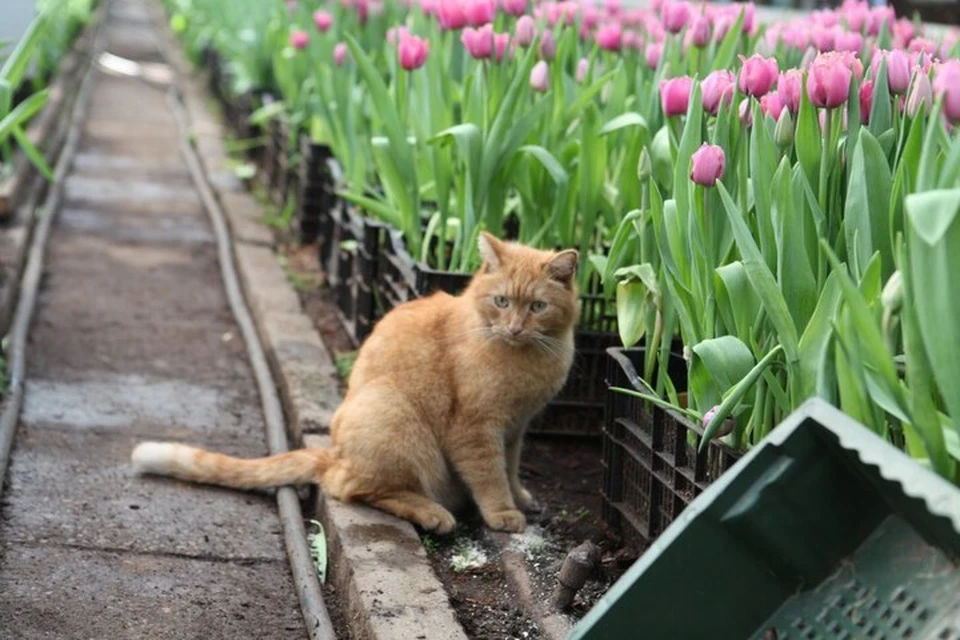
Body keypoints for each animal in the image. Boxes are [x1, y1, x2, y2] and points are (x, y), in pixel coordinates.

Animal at [130, 232, 572, 532]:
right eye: (501, 302)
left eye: (537, 307)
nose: (514, 328)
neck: (526, 357)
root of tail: (335, 454)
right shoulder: (477, 430)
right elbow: (490, 475)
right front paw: (503, 513)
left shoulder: (516, 429)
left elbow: (510, 468)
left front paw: (520, 498)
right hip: (395, 418)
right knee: (351, 488)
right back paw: (432, 513)